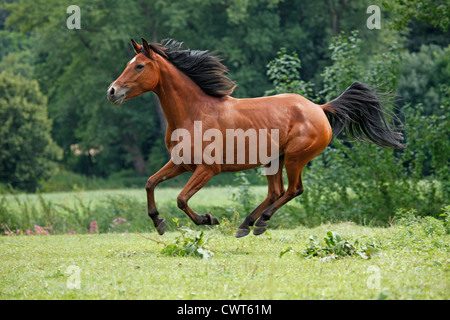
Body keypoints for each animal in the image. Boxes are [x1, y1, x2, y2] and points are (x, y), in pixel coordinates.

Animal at [106, 37, 404, 238]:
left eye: (140, 66)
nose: (112, 91)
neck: (194, 113)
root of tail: (319, 108)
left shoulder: (208, 169)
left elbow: (181, 199)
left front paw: (207, 219)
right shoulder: (180, 163)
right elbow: (150, 183)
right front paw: (159, 223)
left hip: (294, 159)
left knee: (293, 190)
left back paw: (259, 222)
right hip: (274, 161)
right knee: (276, 192)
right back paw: (247, 224)